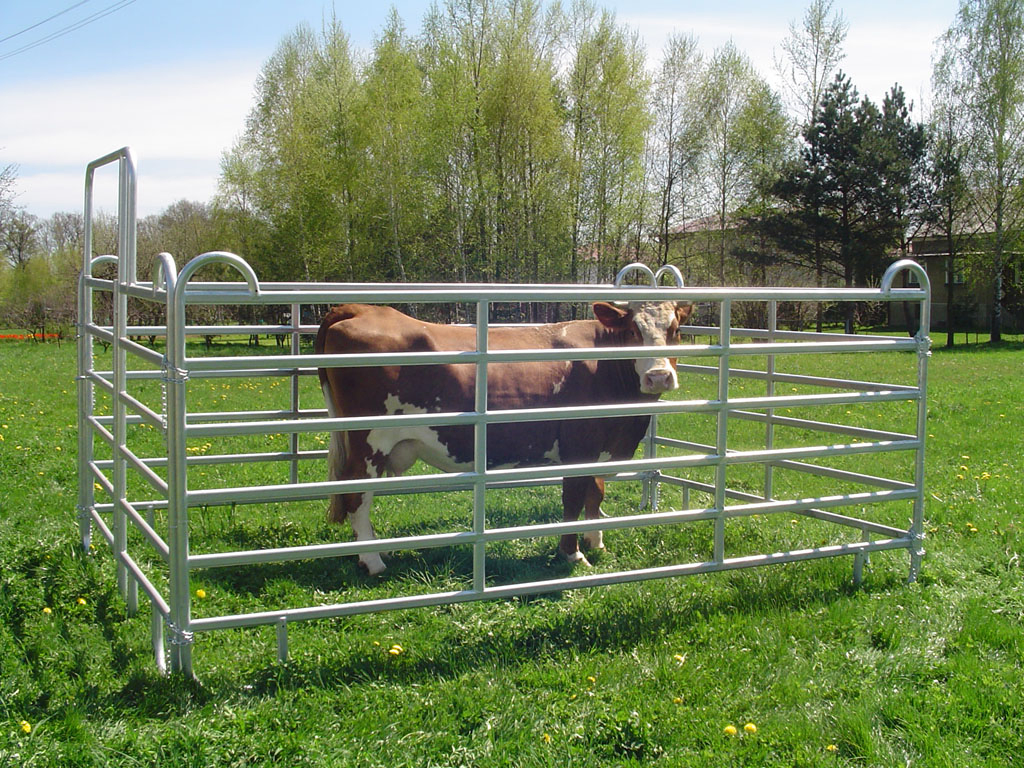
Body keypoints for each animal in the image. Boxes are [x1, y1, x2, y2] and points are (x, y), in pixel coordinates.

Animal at [315, 299, 694, 575]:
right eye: (631, 329)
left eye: (675, 330)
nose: (659, 376)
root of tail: (363, 308)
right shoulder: (579, 447)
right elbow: (572, 500)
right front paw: (572, 555)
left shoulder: (599, 447)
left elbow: (595, 494)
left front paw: (596, 541)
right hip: (369, 442)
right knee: (356, 495)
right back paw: (373, 560)